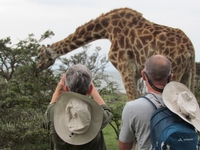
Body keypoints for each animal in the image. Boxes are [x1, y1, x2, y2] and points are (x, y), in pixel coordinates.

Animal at [36, 7, 196, 101]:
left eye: (39, 56)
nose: (37, 67)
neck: (108, 30)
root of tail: (189, 46)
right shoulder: (135, 74)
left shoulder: (125, 68)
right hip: (187, 73)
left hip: (173, 72)